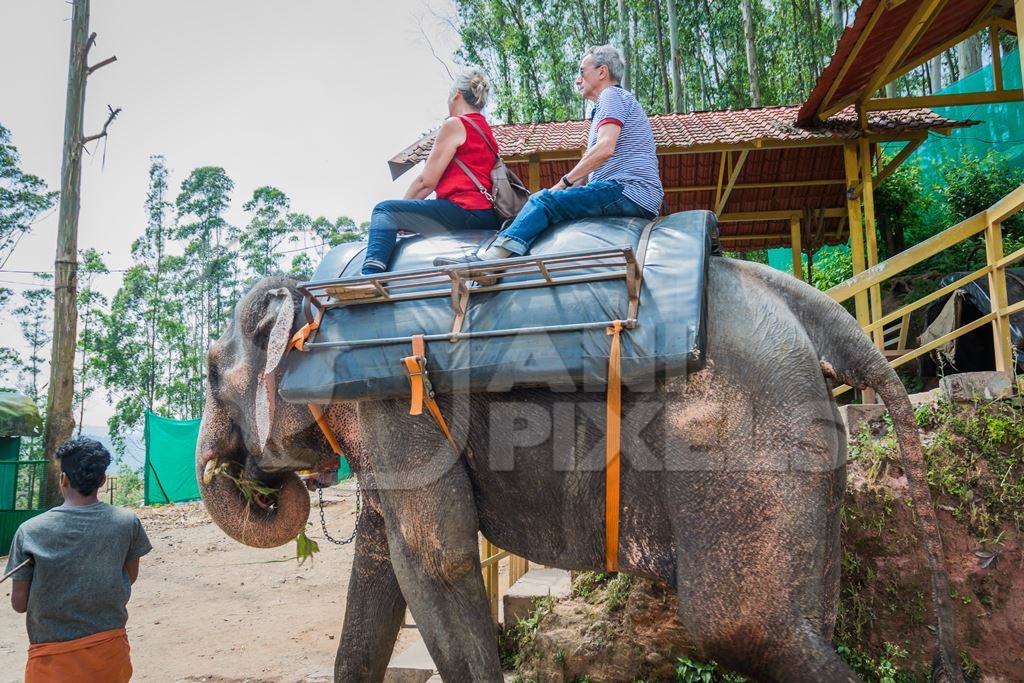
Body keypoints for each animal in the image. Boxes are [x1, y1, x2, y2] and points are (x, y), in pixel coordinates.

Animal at [195, 258, 962, 683]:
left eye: (205, 372)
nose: (260, 481)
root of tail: (817, 310)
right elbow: (381, 569)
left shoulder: (398, 409)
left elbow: (437, 561)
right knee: (798, 624)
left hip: (743, 447)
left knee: (743, 627)